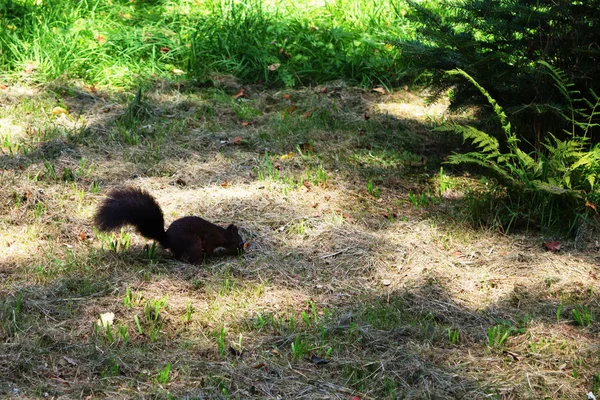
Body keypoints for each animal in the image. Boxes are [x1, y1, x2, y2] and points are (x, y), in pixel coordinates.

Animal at [94, 187, 244, 264]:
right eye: (241, 243)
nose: (242, 252)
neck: (224, 235)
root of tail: (168, 240)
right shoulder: (211, 239)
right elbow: (209, 247)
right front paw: (213, 255)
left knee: (176, 255)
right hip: (193, 241)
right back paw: (199, 261)